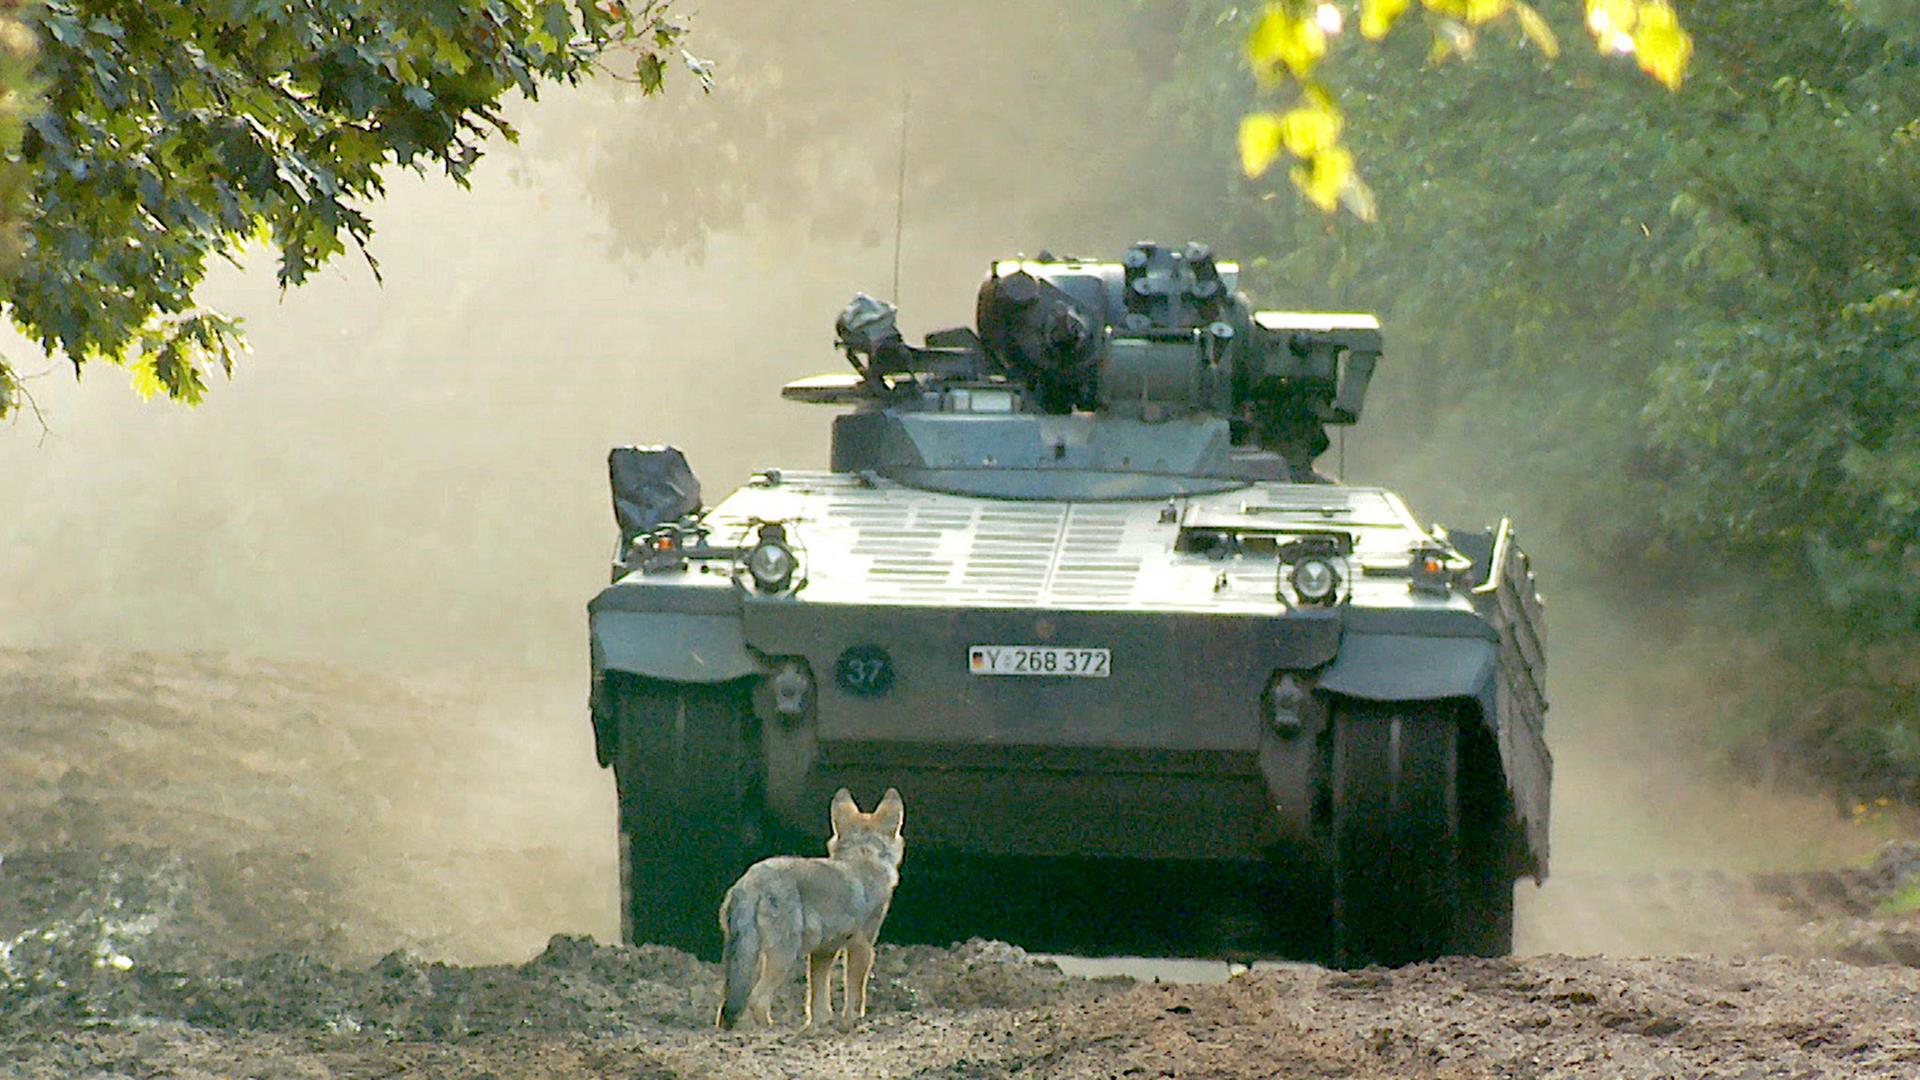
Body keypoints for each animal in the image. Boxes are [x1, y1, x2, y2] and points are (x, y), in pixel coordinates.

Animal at [715, 787, 905, 1030]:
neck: (863, 855)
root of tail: (751, 881)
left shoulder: (824, 952)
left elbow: (818, 1000)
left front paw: (821, 1023)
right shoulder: (862, 947)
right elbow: (855, 995)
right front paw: (853, 1021)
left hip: (748, 958)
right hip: (784, 957)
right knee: (757, 999)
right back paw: (772, 1027)